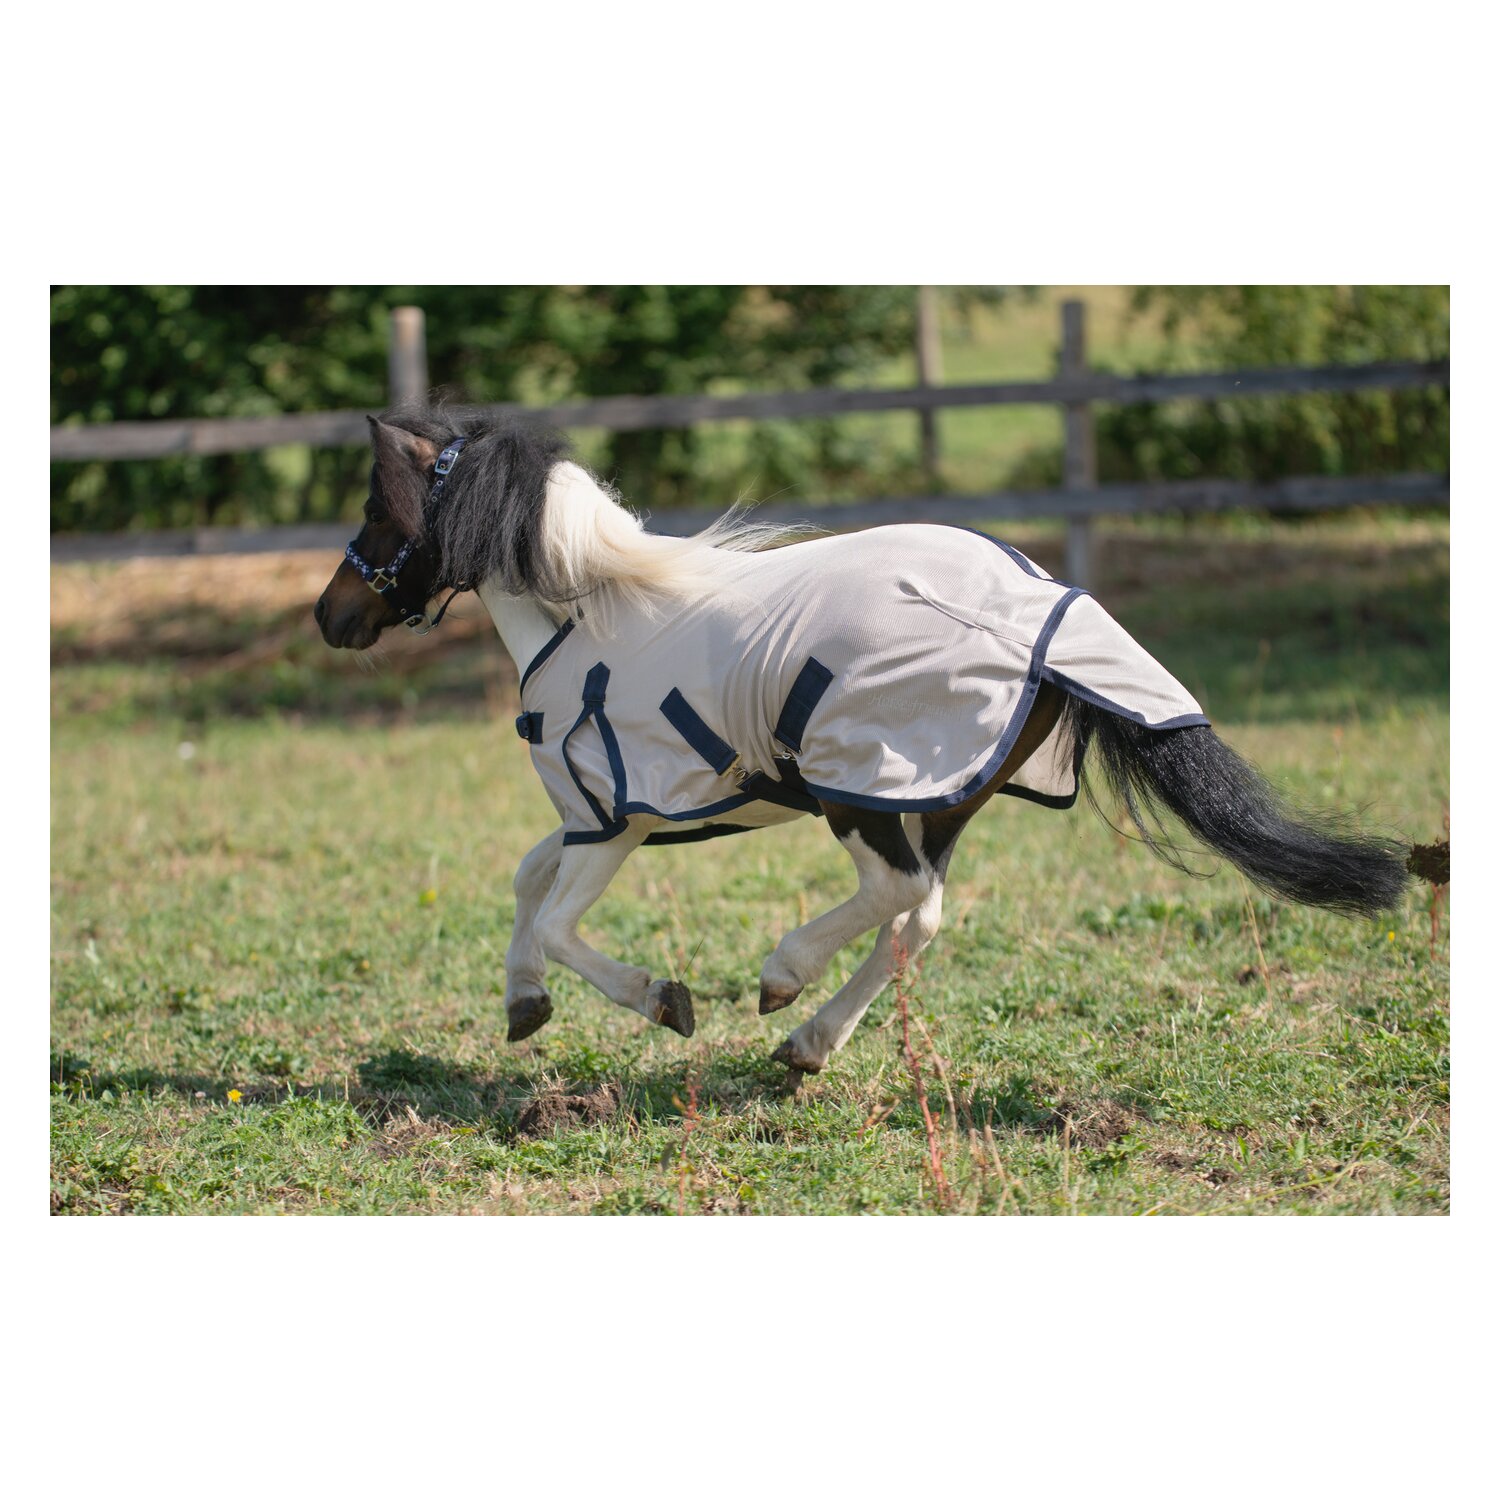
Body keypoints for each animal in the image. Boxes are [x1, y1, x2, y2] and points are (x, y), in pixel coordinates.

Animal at [315, 409, 1419, 1079]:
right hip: (934, 800)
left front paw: (664, 1000)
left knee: (894, 896)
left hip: (862, 791)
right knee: (917, 917)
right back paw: (806, 1043)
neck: (588, 617)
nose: (330, 616)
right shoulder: (596, 820)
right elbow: (525, 881)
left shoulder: (616, 818)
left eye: (377, 507)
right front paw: (523, 1006)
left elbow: (552, 917)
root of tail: (1043, 616)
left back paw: (783, 977)